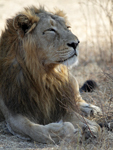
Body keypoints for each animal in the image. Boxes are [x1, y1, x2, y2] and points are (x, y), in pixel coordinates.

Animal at [0, 6, 101, 144]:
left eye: (68, 27)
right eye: (50, 30)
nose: (76, 43)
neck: (44, 75)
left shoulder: (60, 103)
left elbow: (79, 116)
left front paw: (90, 127)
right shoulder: (14, 112)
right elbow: (34, 130)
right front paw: (65, 131)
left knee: (77, 98)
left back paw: (90, 108)